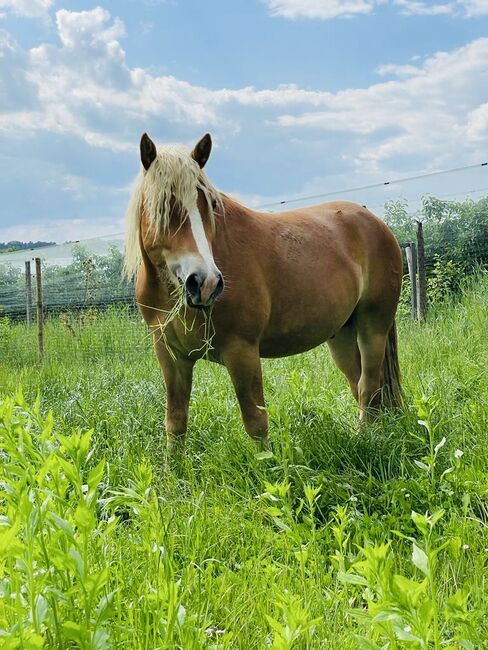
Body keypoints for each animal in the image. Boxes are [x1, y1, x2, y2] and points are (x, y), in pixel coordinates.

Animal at [124, 129, 402, 448]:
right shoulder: (171, 356)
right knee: (359, 386)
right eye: (162, 205)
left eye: (211, 204)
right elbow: (176, 423)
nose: (206, 283)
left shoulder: (242, 351)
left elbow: (256, 422)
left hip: (373, 327)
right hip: (342, 334)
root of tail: (377, 223)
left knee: (369, 385)